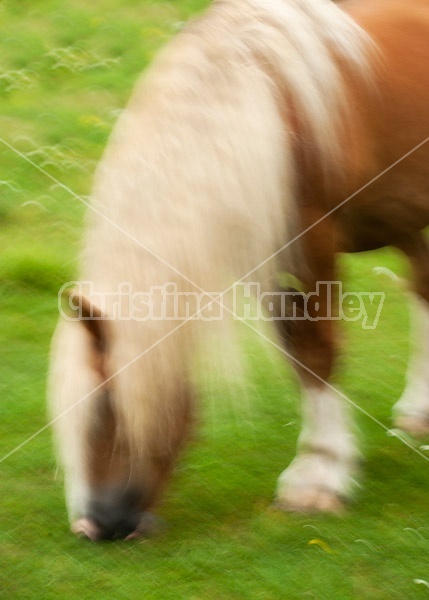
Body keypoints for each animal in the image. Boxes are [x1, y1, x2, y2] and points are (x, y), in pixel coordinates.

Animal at [48, 0, 428, 540]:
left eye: (105, 406)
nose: (94, 525)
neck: (265, 105)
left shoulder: (307, 246)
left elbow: (315, 350)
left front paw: (318, 476)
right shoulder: (267, 261)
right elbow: (295, 351)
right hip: (401, 213)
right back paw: (419, 411)